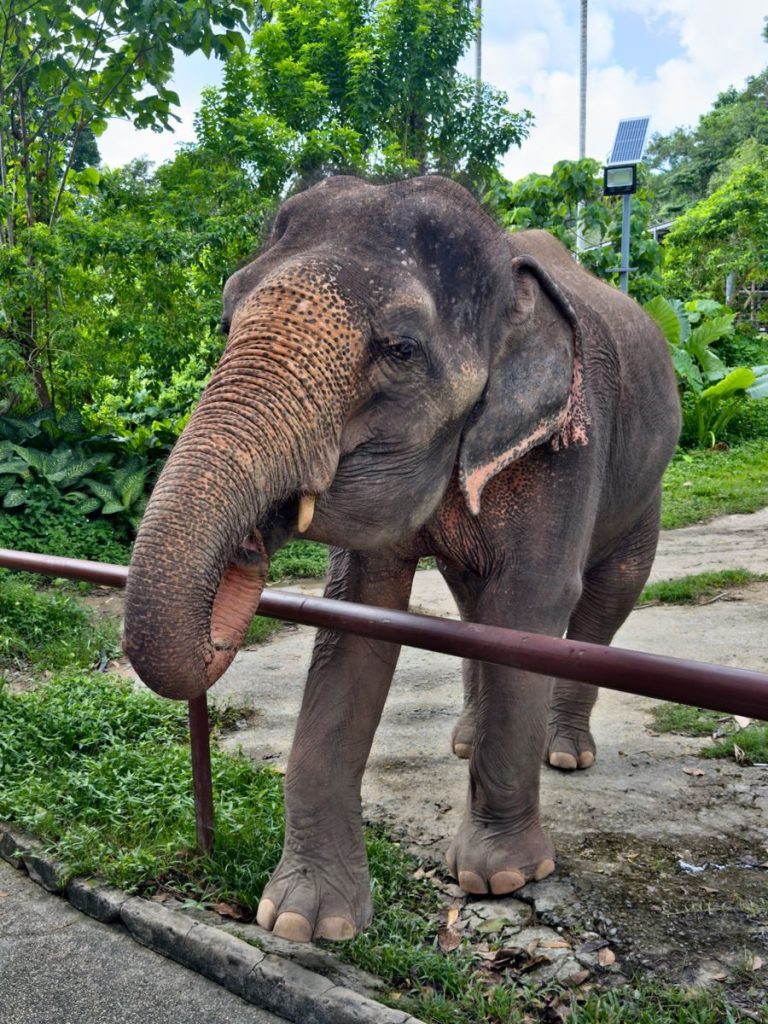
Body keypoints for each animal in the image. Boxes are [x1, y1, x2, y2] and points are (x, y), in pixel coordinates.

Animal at [124, 174, 681, 943]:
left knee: (603, 601)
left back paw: (565, 753)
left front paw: (501, 877)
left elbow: (530, 609)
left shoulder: (567, 445)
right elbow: (357, 618)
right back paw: (466, 740)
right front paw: (302, 921)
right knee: (474, 604)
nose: (251, 544)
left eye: (402, 349)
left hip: (645, 487)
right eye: (227, 318)